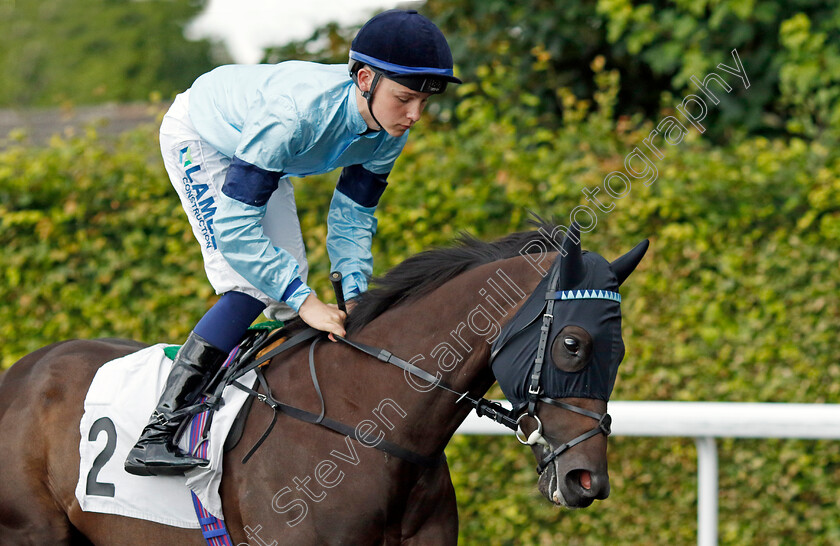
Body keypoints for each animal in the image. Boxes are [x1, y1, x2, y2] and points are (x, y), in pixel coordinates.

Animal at [0, 220, 648, 540]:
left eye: (619, 351)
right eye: (573, 345)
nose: (587, 479)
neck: (366, 429)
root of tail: (19, 374)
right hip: (32, 533)